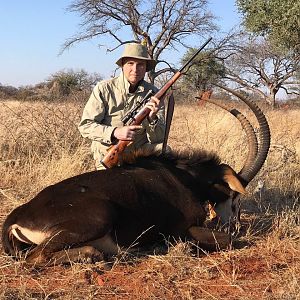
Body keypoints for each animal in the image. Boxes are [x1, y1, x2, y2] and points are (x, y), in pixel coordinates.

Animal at [1, 87, 270, 268]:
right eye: (235, 196)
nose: (236, 226)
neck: (184, 177)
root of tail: (16, 216)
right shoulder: (181, 228)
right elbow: (226, 241)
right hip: (99, 216)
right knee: (34, 257)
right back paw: (96, 254)